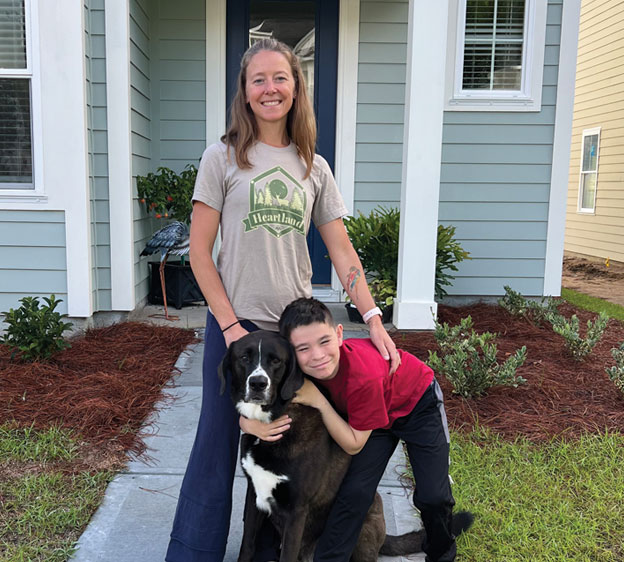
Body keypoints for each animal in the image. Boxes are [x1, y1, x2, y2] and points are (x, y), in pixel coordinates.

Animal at [219, 328, 472, 560]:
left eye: (276, 361)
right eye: (244, 358)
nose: (258, 383)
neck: (273, 420)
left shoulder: (296, 510)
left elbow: (287, 555)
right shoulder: (254, 495)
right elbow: (247, 545)